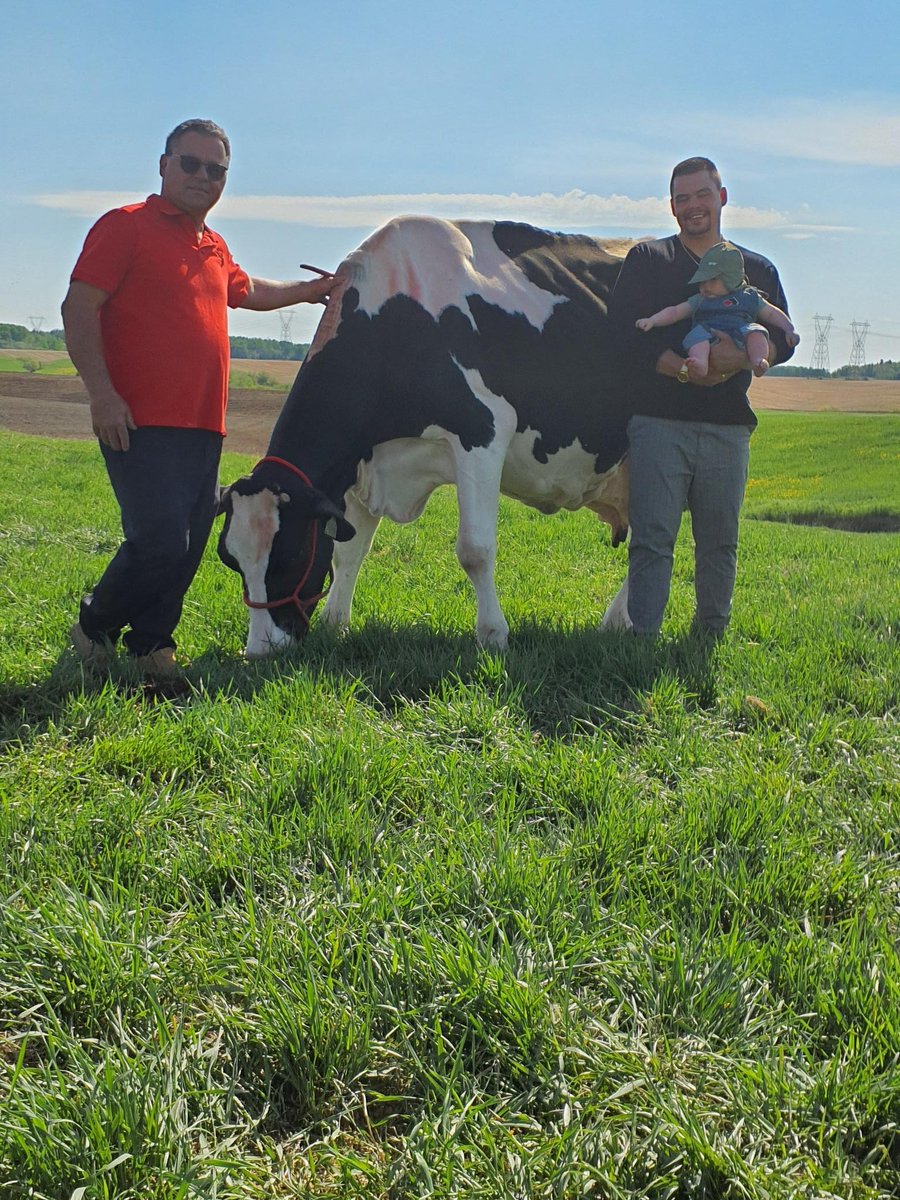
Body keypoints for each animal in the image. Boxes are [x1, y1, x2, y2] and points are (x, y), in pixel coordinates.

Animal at [217, 216, 635, 658]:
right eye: (230, 559)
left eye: (292, 553)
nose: (260, 649)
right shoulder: (363, 459)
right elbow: (349, 550)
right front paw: (336, 624)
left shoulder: (482, 432)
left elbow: (475, 550)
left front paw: (493, 635)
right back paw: (616, 623)